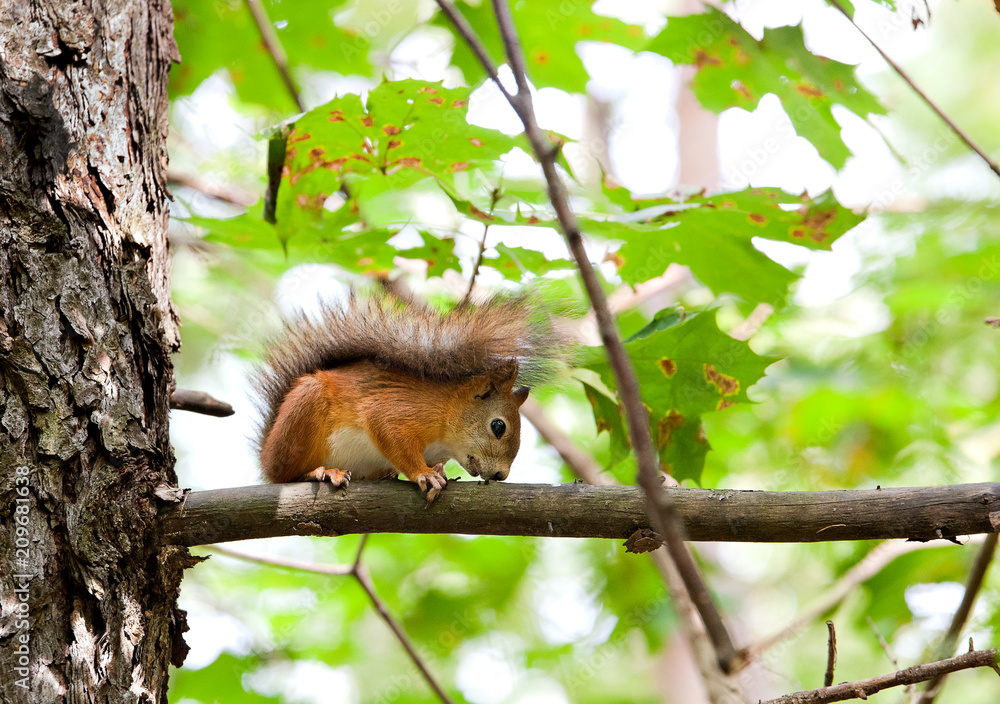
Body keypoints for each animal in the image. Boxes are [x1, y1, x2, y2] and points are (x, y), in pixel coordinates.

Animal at [253, 292, 563, 500]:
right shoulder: (399, 411)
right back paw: (323, 472)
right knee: (285, 474)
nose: (501, 475)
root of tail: (266, 453)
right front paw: (424, 473)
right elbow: (389, 433)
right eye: (498, 426)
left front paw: (439, 469)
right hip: (304, 414)